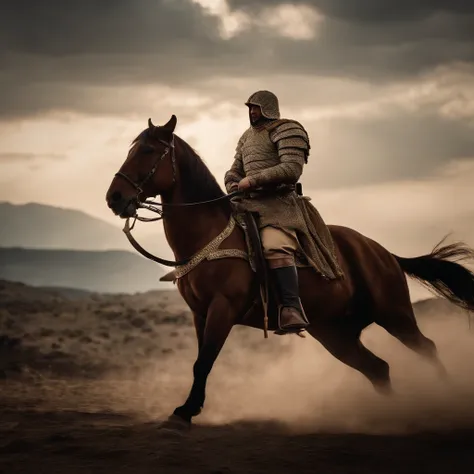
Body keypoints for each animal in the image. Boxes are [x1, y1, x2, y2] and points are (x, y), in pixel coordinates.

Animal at [106, 116, 474, 428]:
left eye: (148, 151)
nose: (114, 198)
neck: (210, 233)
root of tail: (383, 253)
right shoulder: (201, 313)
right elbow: (200, 360)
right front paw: (187, 409)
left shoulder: (223, 308)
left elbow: (205, 360)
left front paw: (184, 412)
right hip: (335, 334)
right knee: (378, 370)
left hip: (394, 315)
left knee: (427, 349)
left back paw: (444, 400)